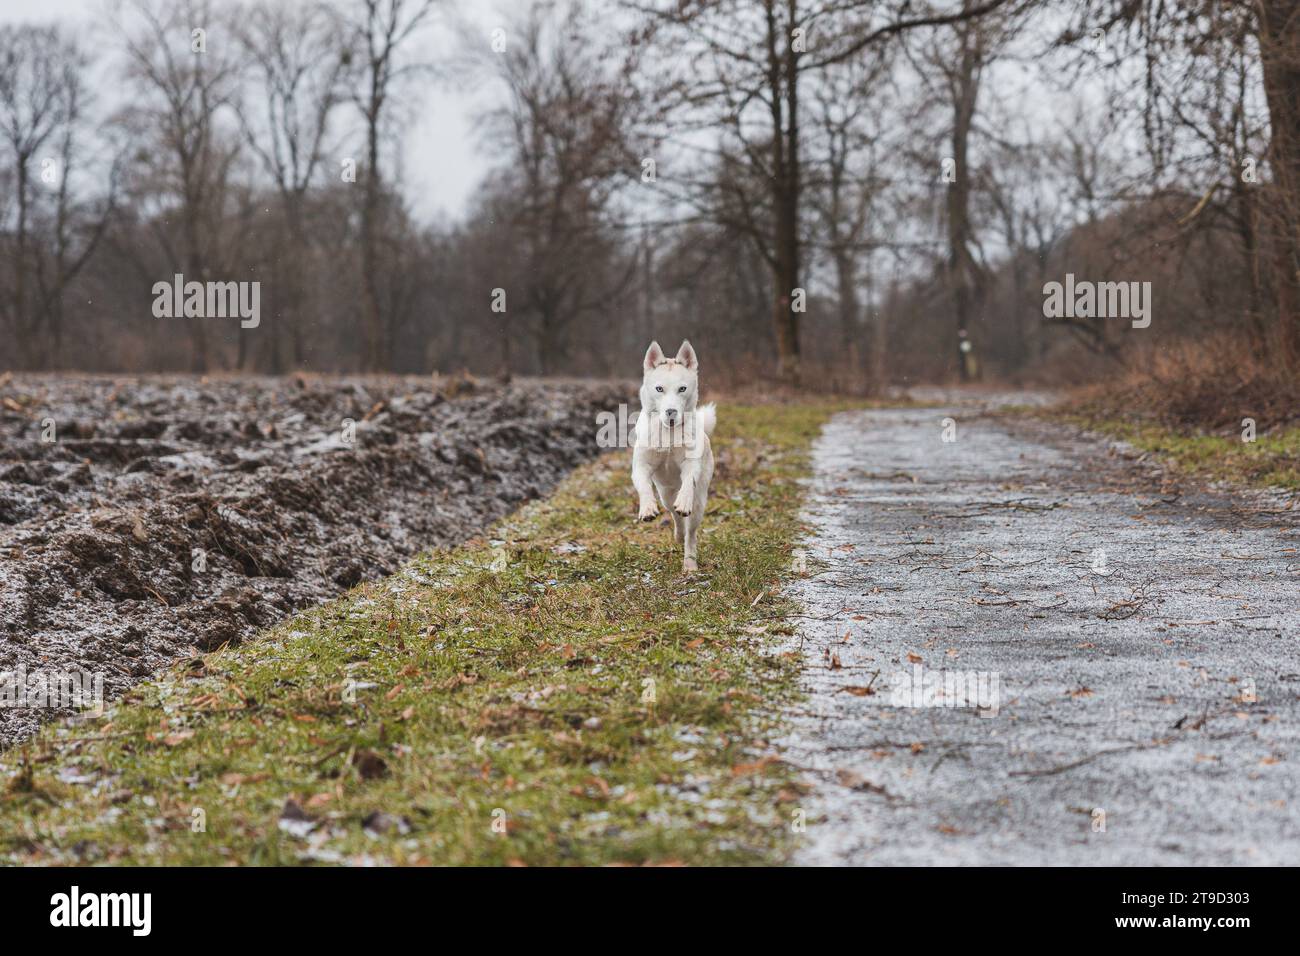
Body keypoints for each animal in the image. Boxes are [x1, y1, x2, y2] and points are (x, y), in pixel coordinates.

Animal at [631, 340, 717, 572]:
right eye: (659, 388)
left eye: (682, 389)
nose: (671, 412)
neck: (669, 434)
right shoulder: (641, 466)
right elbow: (643, 486)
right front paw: (647, 509)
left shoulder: (691, 464)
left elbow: (688, 481)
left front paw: (684, 500)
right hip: (666, 494)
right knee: (674, 514)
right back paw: (678, 534)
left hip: (700, 502)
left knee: (691, 532)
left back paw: (690, 563)